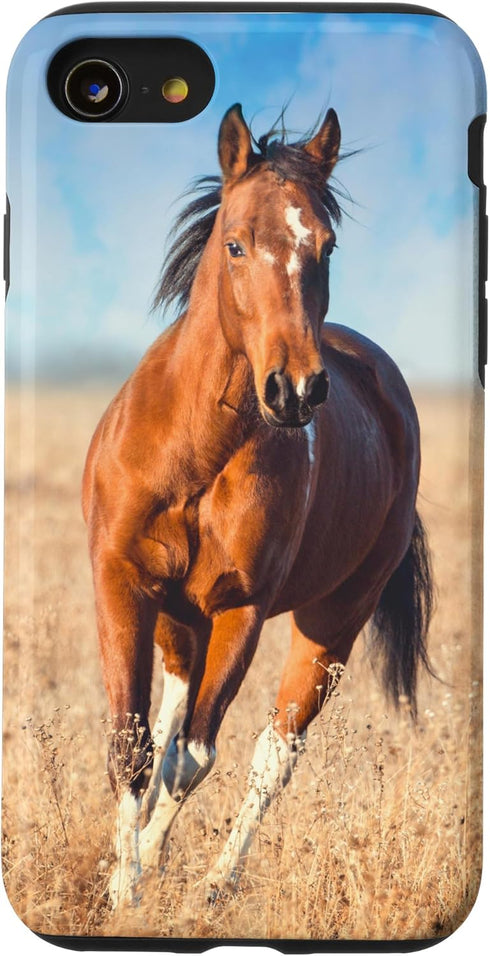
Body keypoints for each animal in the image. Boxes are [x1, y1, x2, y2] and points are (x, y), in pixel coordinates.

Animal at [82, 103, 433, 907]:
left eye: (326, 246)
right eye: (236, 243)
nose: (295, 390)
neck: (193, 455)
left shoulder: (240, 610)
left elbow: (194, 758)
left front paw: (141, 882)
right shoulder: (124, 583)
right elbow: (135, 747)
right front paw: (122, 883)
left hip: (330, 624)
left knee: (275, 753)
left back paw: (214, 886)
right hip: (180, 621)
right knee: (170, 726)